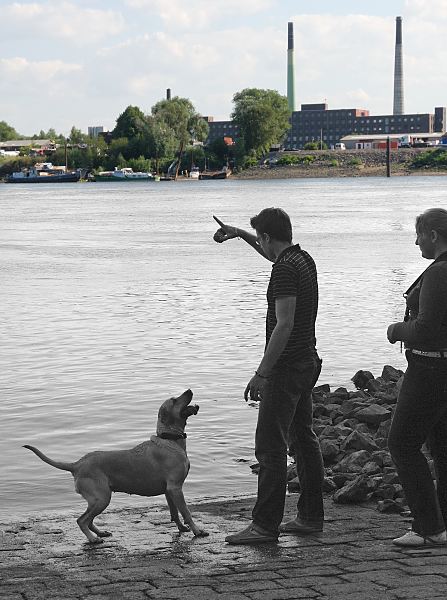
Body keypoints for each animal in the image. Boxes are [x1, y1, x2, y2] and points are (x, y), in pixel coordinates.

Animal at [22, 390, 208, 544]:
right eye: (175, 400)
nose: (190, 389)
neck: (169, 439)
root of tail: (77, 464)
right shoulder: (175, 488)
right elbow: (186, 512)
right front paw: (197, 531)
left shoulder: (169, 491)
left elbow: (175, 513)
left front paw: (182, 528)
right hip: (102, 498)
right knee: (82, 520)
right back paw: (93, 539)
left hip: (98, 499)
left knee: (88, 520)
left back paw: (100, 533)